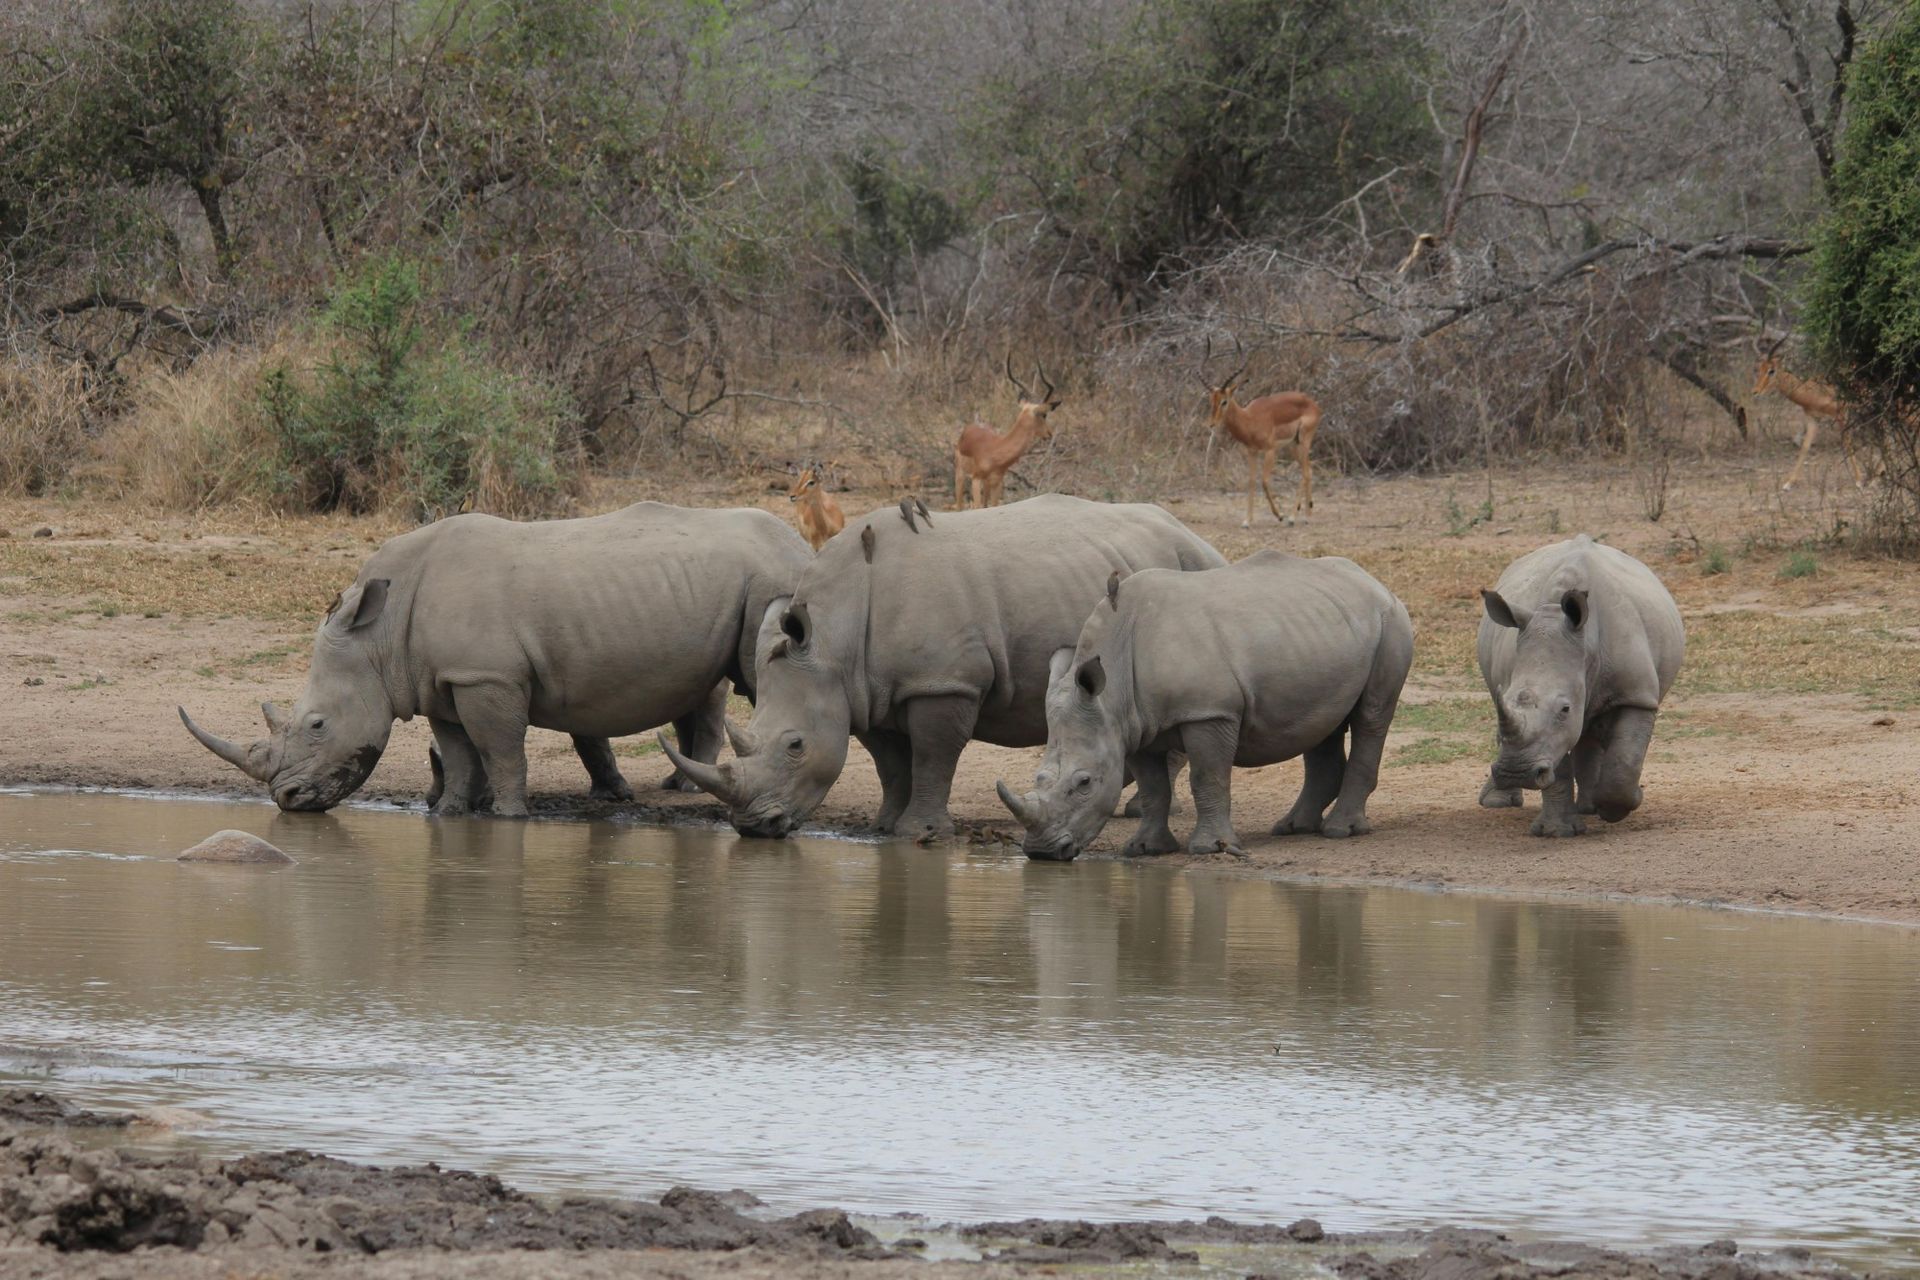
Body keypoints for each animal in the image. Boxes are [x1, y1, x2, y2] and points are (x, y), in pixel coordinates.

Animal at [180, 502, 811, 815]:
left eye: (316, 725)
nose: (286, 800)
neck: (378, 635)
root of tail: (801, 542)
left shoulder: (487, 677)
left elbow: (501, 750)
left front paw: (509, 817)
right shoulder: (442, 681)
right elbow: (461, 752)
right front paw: (452, 814)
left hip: (770, 581)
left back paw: (692, 792)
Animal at [659, 494, 1227, 839]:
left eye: (795, 745)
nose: (754, 826)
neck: (833, 637)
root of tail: (1193, 535)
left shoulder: (943, 682)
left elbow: (934, 755)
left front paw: (920, 833)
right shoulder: (866, 689)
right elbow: (890, 761)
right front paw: (886, 827)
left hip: (1196, 568)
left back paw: (1137, 811)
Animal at [996, 551, 1413, 860]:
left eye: (1083, 783)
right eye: (1039, 779)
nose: (1041, 852)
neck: (1113, 687)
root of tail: (1374, 582)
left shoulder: (1208, 712)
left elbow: (1207, 777)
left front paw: (1209, 849)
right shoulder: (1134, 726)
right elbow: (1153, 788)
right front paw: (1145, 848)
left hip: (1390, 623)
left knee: (1372, 716)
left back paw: (1340, 832)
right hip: (1325, 631)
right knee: (1322, 724)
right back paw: (1293, 828)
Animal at [1477, 535, 1685, 837]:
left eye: (1565, 708)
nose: (1517, 772)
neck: (1587, 647)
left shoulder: (1637, 694)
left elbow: (1624, 759)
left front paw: (1622, 804)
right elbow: (1558, 762)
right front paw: (1557, 832)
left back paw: (1590, 806)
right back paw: (1498, 802)